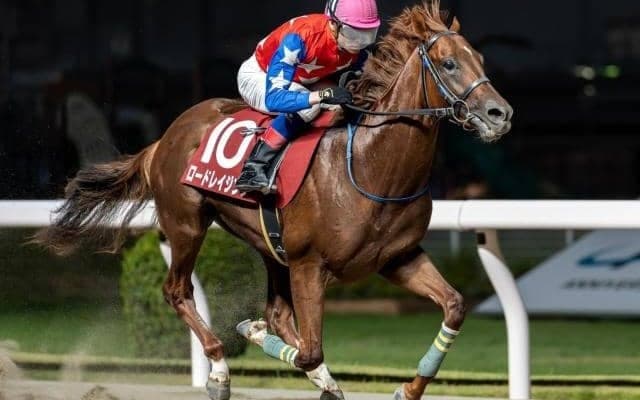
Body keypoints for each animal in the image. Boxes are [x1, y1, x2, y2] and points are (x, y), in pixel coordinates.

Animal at [35, 2, 512, 400]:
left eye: (481, 59)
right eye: (449, 63)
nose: (500, 114)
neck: (369, 167)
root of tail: (166, 137)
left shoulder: (398, 258)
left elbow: (454, 306)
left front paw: (407, 389)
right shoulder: (308, 265)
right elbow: (310, 350)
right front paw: (251, 333)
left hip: (269, 245)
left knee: (277, 312)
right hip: (187, 224)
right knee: (178, 291)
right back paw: (220, 370)